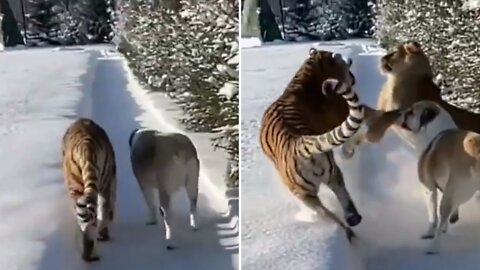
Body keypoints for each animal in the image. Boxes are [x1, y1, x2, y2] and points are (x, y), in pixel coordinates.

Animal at [61, 118, 116, 262]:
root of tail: (86, 145)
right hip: (103, 183)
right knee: (100, 213)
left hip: (82, 186)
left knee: (90, 218)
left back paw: (89, 253)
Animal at [260, 48, 366, 238]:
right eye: (338, 58)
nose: (350, 59)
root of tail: (296, 142)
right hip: (318, 184)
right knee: (339, 201)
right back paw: (352, 225)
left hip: (309, 191)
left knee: (332, 210)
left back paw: (351, 227)